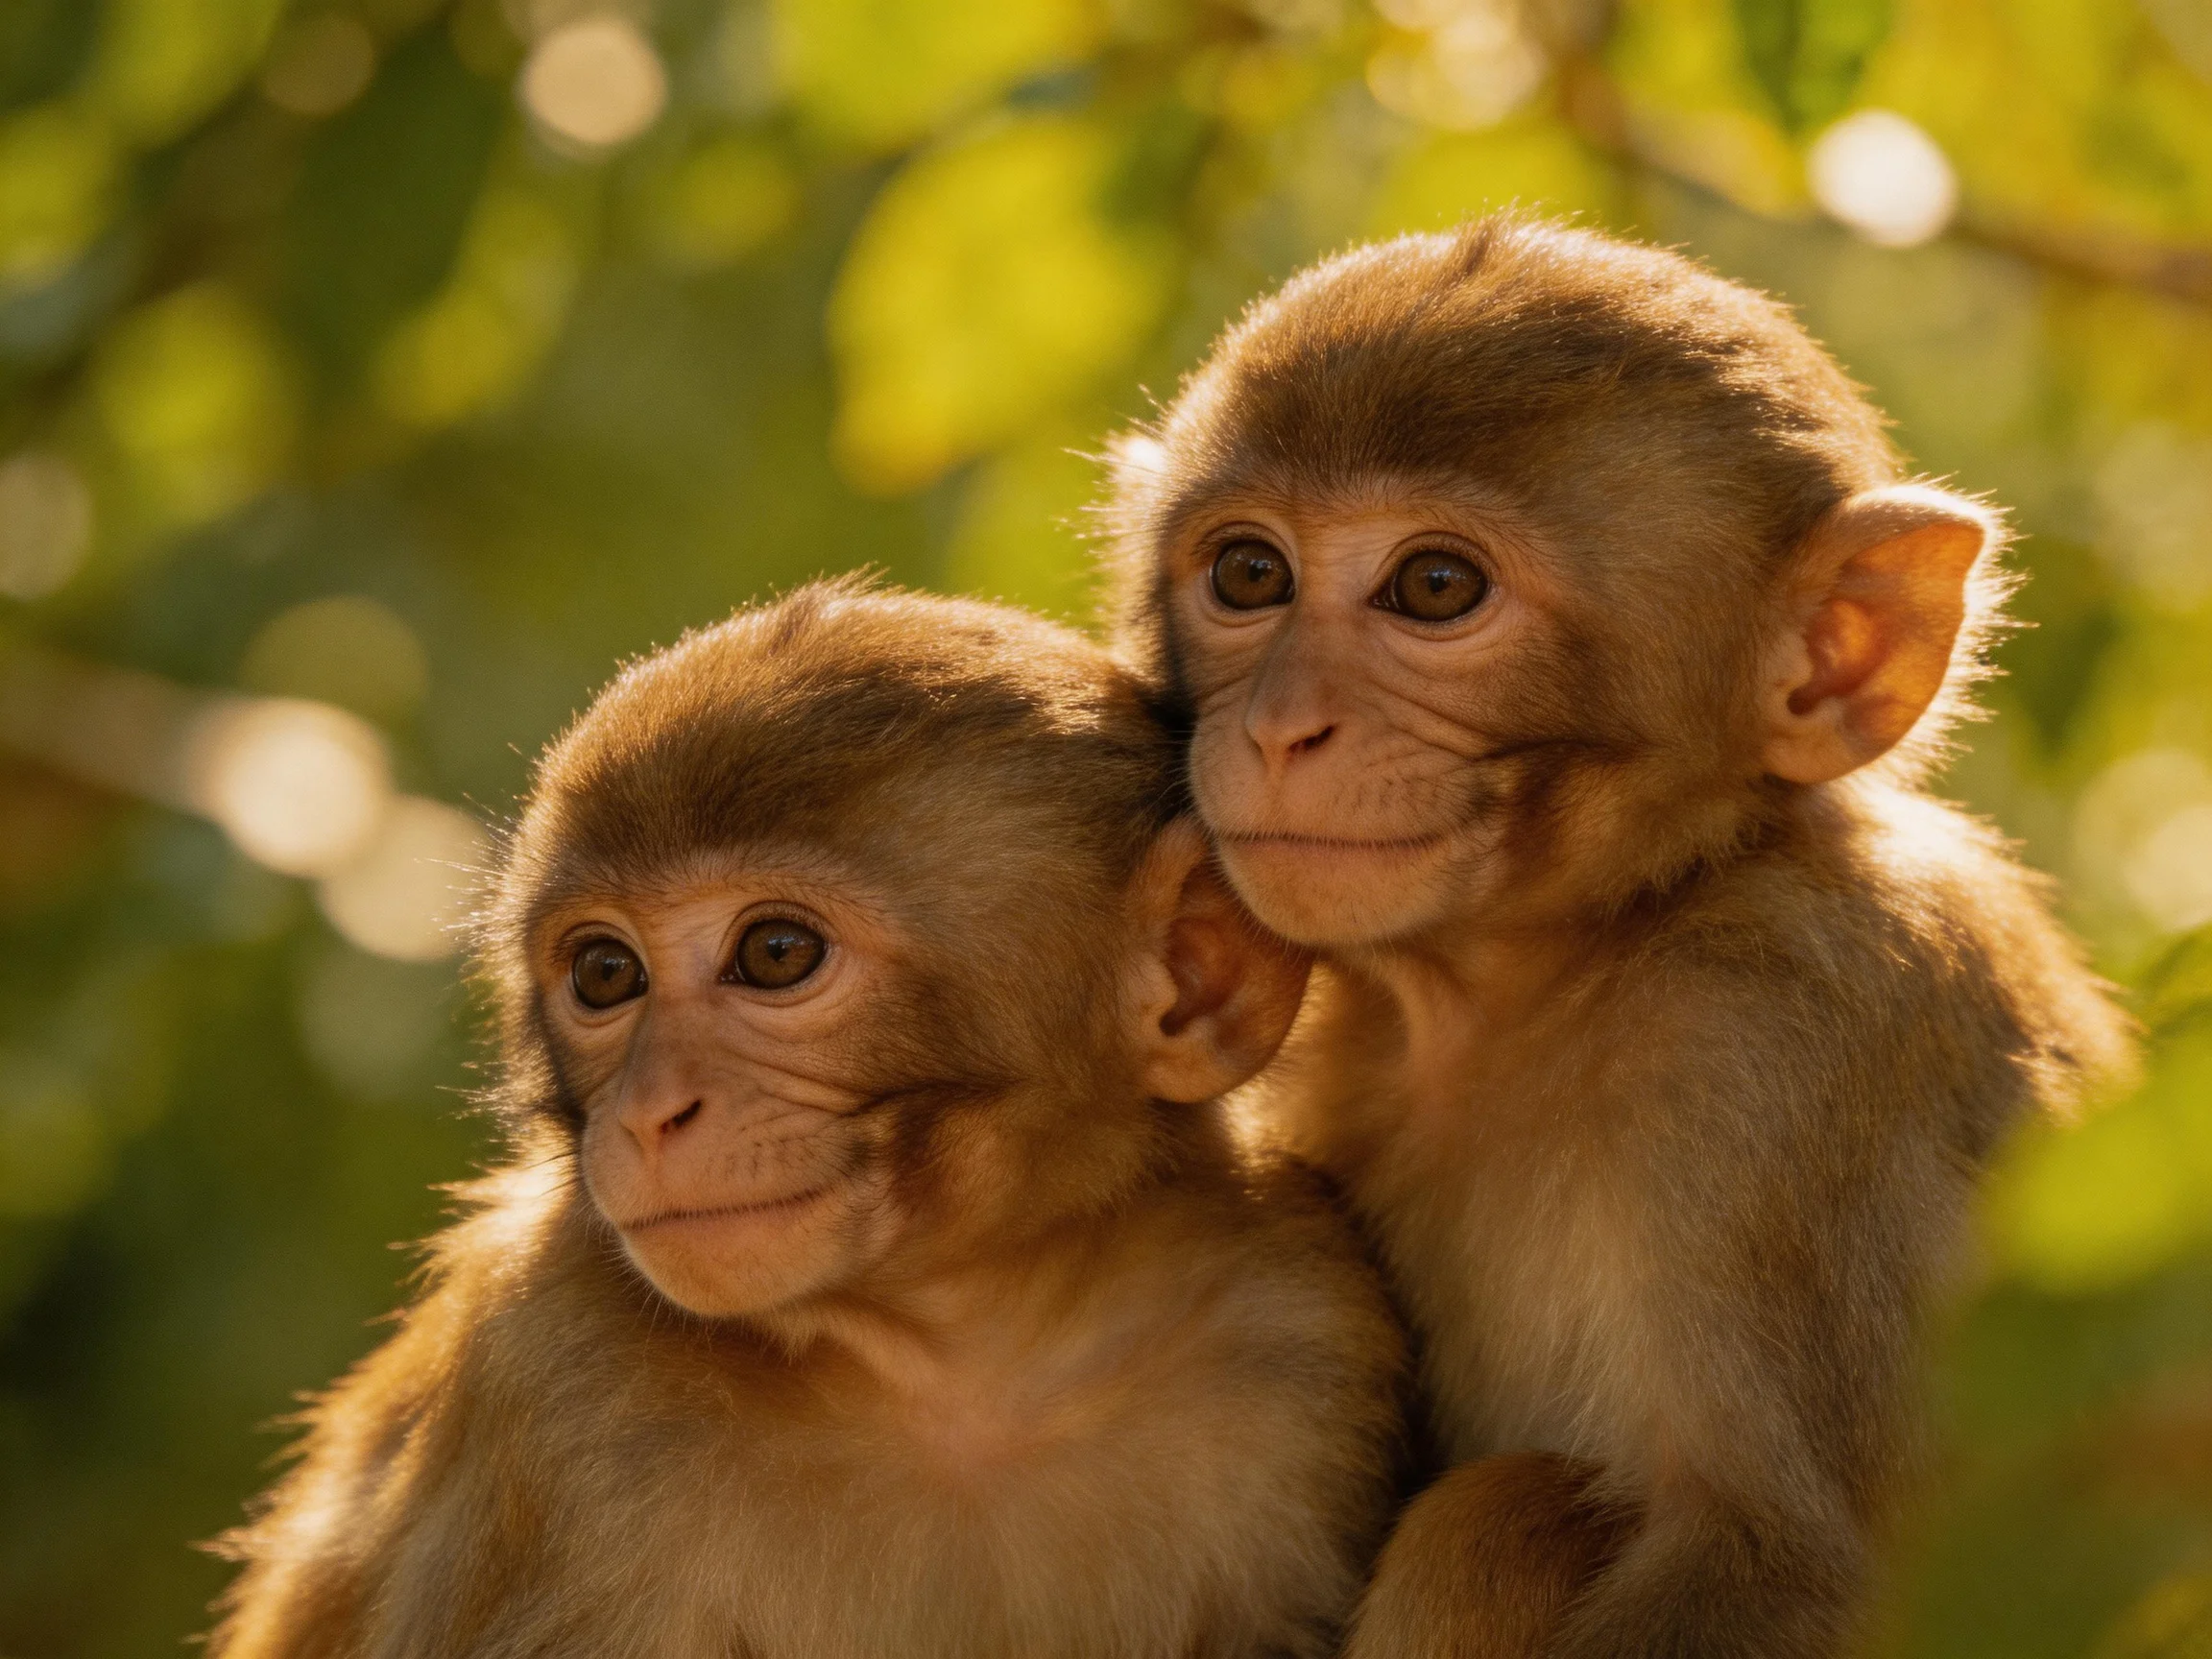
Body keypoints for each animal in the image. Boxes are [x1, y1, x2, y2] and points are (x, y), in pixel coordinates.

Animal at [207, 581, 1407, 1659]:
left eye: (776, 953)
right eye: (606, 974)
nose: (649, 1113)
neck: (972, 1356)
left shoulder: (1298, 1328)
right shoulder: (560, 1383)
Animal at [1102, 216, 2136, 1658]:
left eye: (1434, 587)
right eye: (1249, 574)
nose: (1276, 728)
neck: (1561, 968)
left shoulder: (1777, 1055)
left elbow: (1793, 1572)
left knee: (1507, 1514)